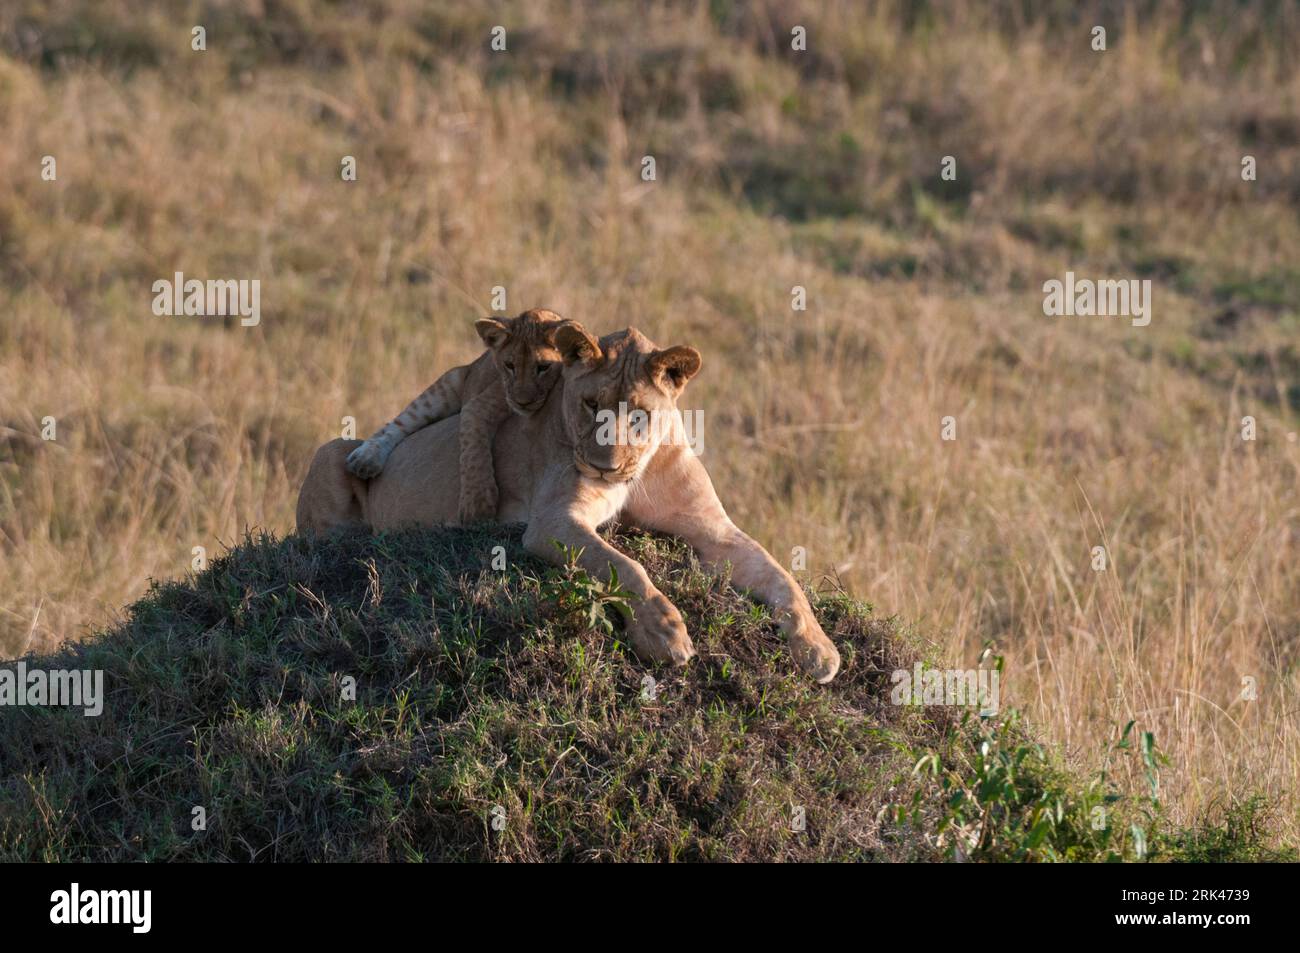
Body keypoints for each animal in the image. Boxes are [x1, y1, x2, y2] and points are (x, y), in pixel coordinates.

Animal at [344, 308, 570, 523]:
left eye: (543, 367)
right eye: (509, 365)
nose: (522, 401)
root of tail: (473, 363)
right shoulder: (479, 404)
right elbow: (474, 451)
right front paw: (477, 505)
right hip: (448, 385)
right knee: (399, 423)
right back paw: (365, 460)